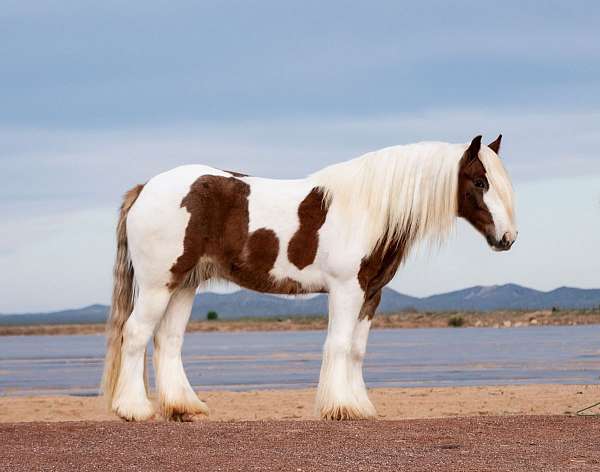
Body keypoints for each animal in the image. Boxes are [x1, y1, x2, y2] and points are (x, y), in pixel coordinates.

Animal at [102, 133, 516, 420]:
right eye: (480, 182)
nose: (508, 238)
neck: (368, 209)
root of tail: (144, 188)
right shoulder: (346, 289)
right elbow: (338, 344)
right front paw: (340, 408)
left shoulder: (371, 293)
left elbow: (357, 350)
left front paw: (360, 405)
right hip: (158, 284)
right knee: (136, 334)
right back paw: (134, 409)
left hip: (184, 284)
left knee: (168, 340)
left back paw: (183, 407)